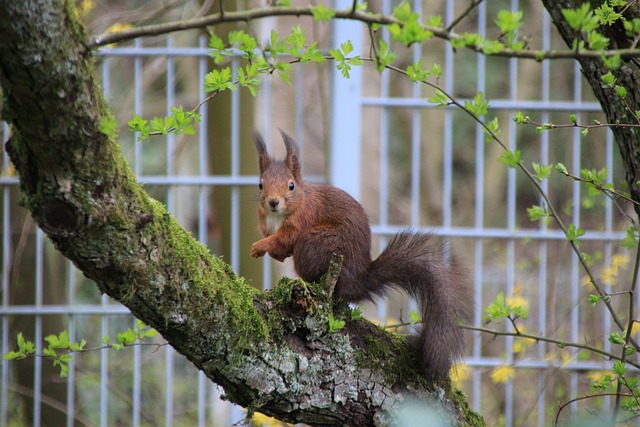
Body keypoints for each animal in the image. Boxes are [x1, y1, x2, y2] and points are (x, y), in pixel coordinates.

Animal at [252, 130, 472, 382]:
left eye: (291, 185)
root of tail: (358, 279)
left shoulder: (301, 221)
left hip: (315, 243)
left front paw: (259, 246)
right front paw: (268, 250)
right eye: (260, 184)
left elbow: (285, 239)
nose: (273, 202)